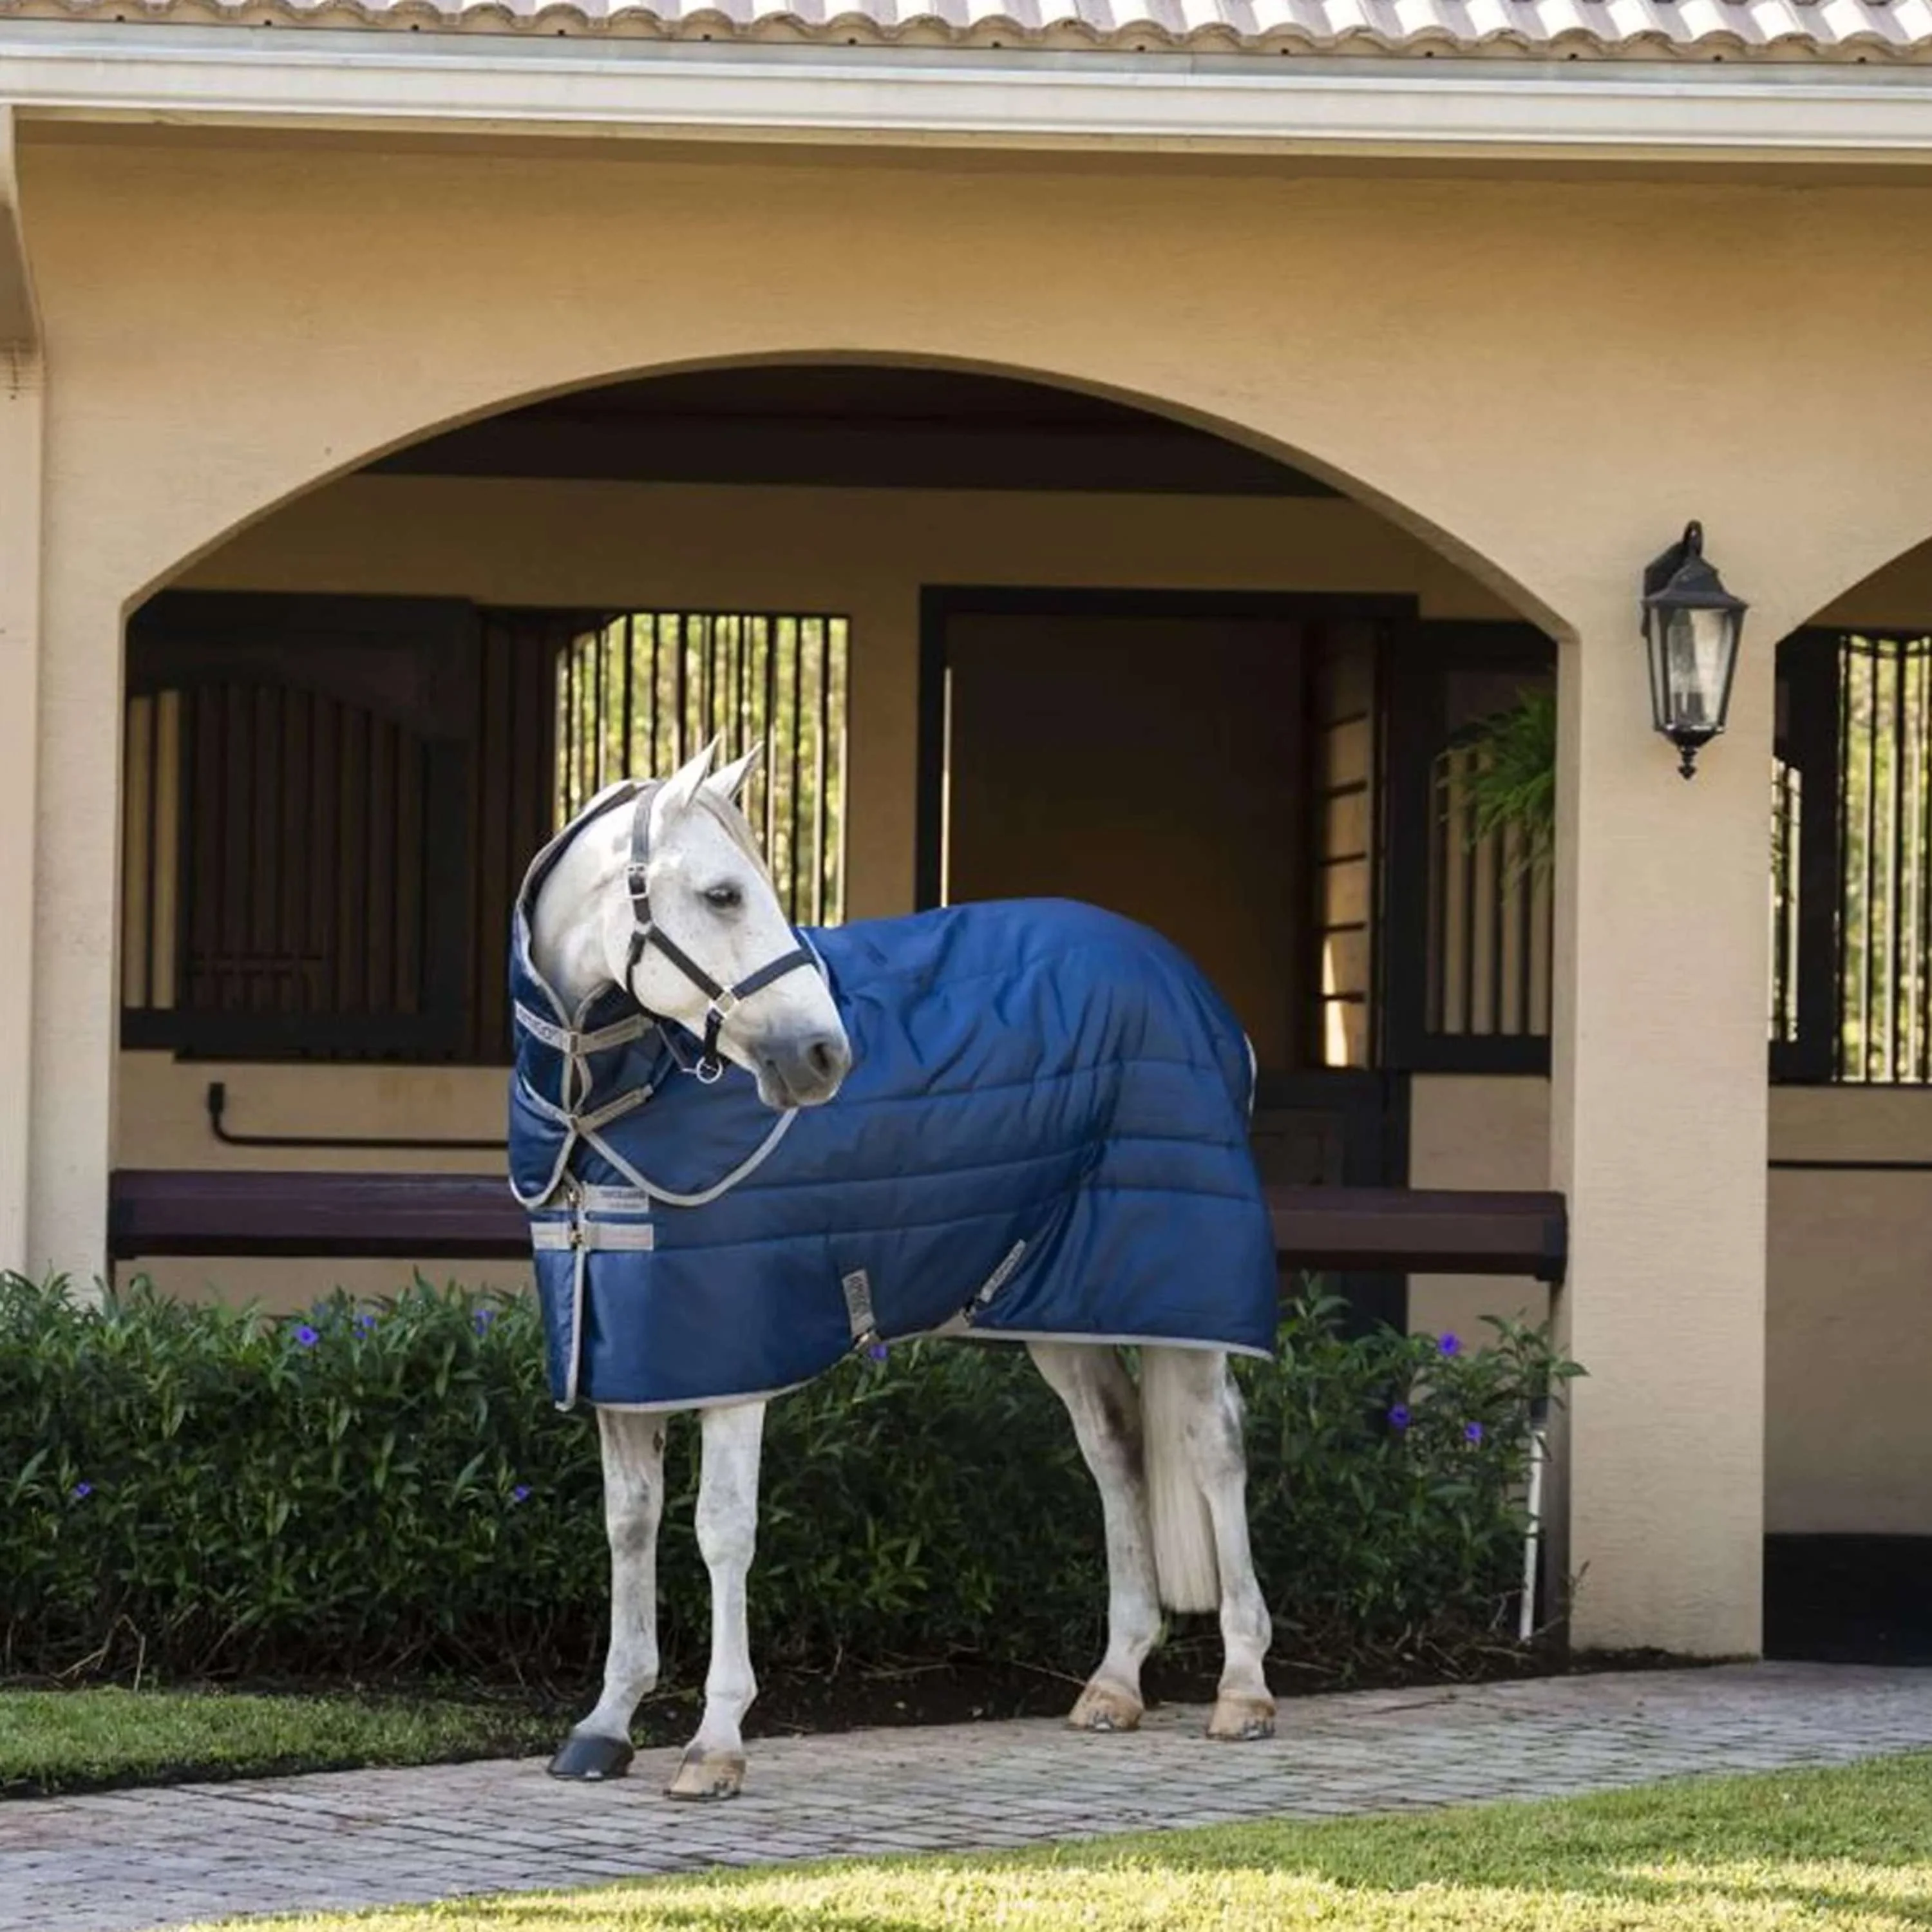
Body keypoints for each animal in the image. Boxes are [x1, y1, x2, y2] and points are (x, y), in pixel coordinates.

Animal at [518, 739, 1277, 1800]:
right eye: (721, 894)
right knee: (1115, 1447)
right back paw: (1115, 1683)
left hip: (1182, 1297)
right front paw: (605, 1726)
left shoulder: (733, 1361)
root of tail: (1197, 994)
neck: (606, 1111)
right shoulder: (627, 1358)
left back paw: (1244, 1690)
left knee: (1214, 1449)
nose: (823, 1056)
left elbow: (720, 1529)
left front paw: (716, 1744)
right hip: (1059, 1307)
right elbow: (630, 1523)